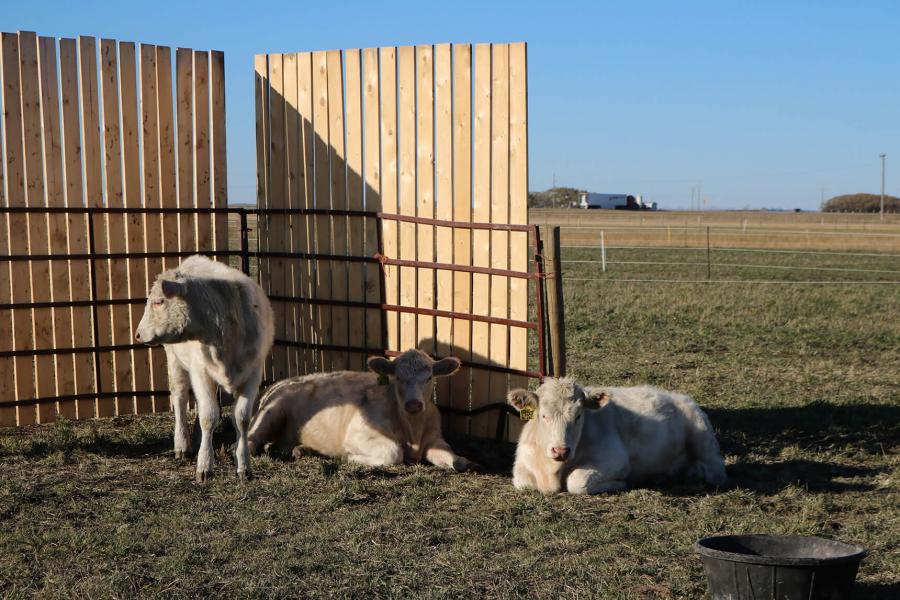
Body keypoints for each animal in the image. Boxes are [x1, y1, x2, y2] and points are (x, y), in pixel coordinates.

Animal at [135, 255, 274, 482]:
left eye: (158, 301)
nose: (138, 334)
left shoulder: (253, 374)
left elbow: (242, 419)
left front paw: (243, 465)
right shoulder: (200, 373)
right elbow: (208, 417)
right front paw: (205, 465)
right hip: (175, 361)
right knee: (180, 399)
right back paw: (182, 445)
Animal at [247, 349, 471, 471]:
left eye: (429, 377)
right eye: (398, 377)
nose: (414, 404)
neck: (412, 432)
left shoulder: (434, 439)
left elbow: (454, 459)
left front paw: (461, 461)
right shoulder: (358, 434)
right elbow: (393, 453)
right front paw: (348, 457)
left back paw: (300, 449)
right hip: (271, 411)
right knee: (250, 439)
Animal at [507, 378, 727, 494]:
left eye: (578, 416)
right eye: (543, 415)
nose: (561, 450)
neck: (553, 471)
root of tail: (679, 396)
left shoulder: (616, 460)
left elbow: (577, 481)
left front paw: (621, 483)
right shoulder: (522, 466)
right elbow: (524, 483)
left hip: (702, 435)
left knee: (715, 470)